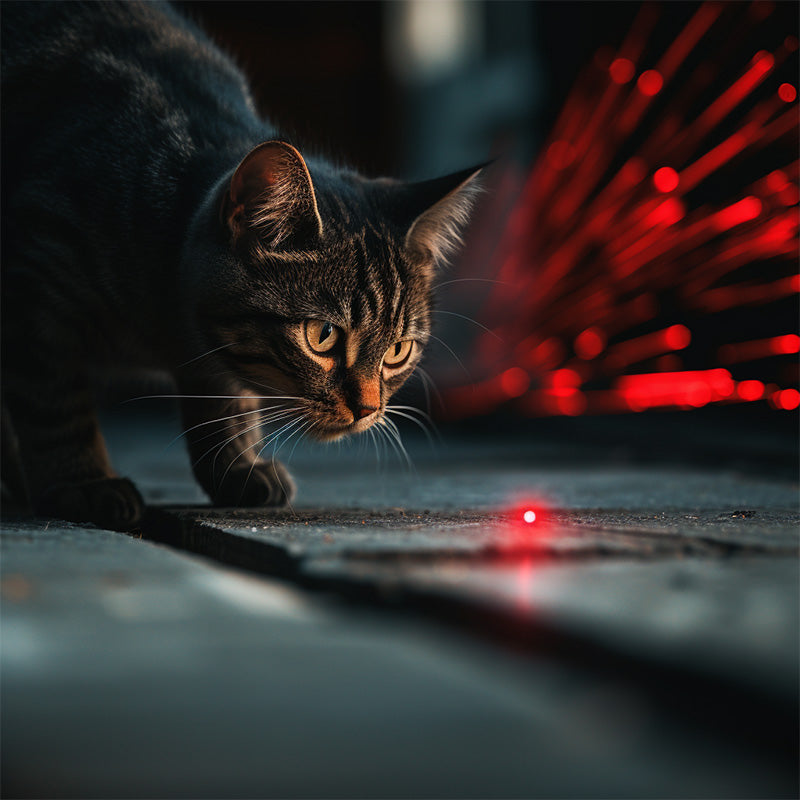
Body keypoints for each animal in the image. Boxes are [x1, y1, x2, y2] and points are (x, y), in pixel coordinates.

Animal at [0, 1, 482, 532]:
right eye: (322, 336)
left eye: (397, 350)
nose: (367, 409)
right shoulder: (34, 289)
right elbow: (56, 406)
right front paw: (83, 481)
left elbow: (226, 396)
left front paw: (236, 466)